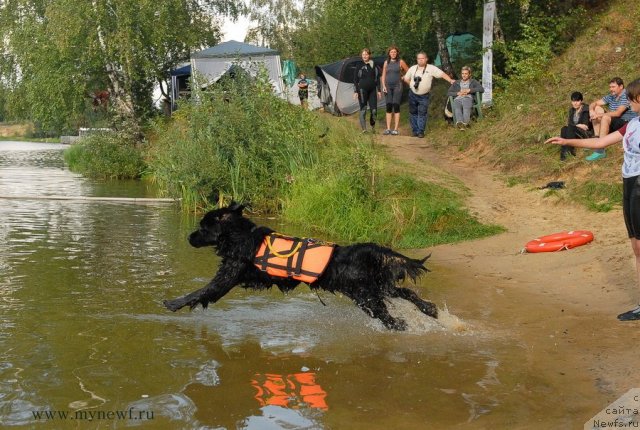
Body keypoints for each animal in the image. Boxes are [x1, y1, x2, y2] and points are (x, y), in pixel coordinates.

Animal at [162, 203, 438, 330]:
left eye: (202, 227)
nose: (189, 237)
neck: (241, 237)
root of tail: (365, 251)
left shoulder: (226, 278)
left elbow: (200, 292)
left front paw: (172, 303)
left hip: (366, 296)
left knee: (389, 316)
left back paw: (404, 325)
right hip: (375, 287)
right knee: (406, 292)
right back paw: (430, 309)